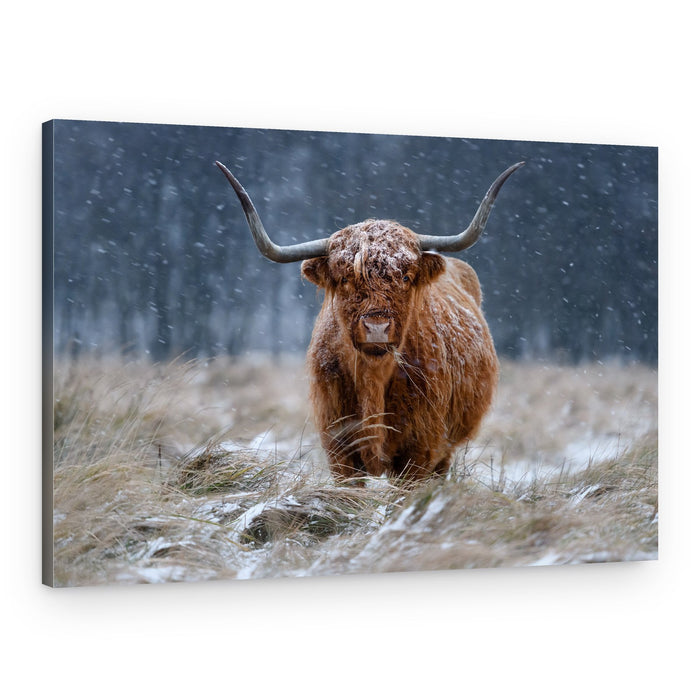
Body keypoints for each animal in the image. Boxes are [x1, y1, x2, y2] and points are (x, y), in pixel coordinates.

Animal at [215, 159, 524, 481]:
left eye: (405, 276)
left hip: (446, 449)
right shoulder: (339, 448)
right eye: (345, 279)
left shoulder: (421, 450)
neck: (373, 378)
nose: (377, 328)